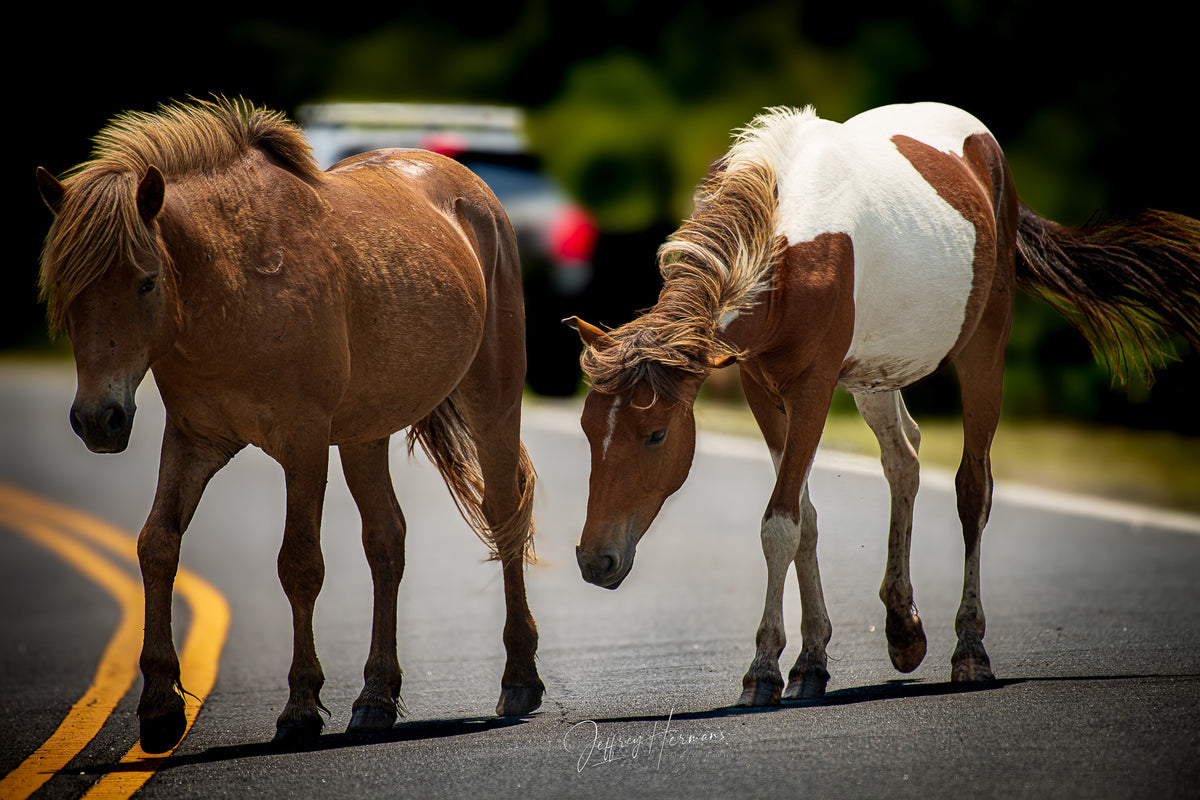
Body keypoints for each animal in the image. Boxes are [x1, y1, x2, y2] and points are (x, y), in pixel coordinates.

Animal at [36, 97, 544, 751]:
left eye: (146, 281)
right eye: (67, 290)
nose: (100, 419)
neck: (236, 285)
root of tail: (471, 188)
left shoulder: (303, 445)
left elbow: (299, 564)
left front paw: (300, 706)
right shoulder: (194, 441)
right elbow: (157, 545)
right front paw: (159, 707)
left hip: (493, 404)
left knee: (503, 517)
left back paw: (520, 679)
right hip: (364, 434)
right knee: (387, 541)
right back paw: (376, 698)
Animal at [567, 102, 1200, 706]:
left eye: (656, 434)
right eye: (588, 431)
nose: (595, 560)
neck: (790, 245)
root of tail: (989, 156)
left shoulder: (814, 387)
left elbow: (780, 524)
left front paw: (764, 668)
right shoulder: (760, 386)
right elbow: (805, 519)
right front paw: (811, 661)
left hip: (984, 347)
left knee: (973, 488)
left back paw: (970, 648)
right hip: (875, 377)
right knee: (904, 460)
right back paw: (902, 627)